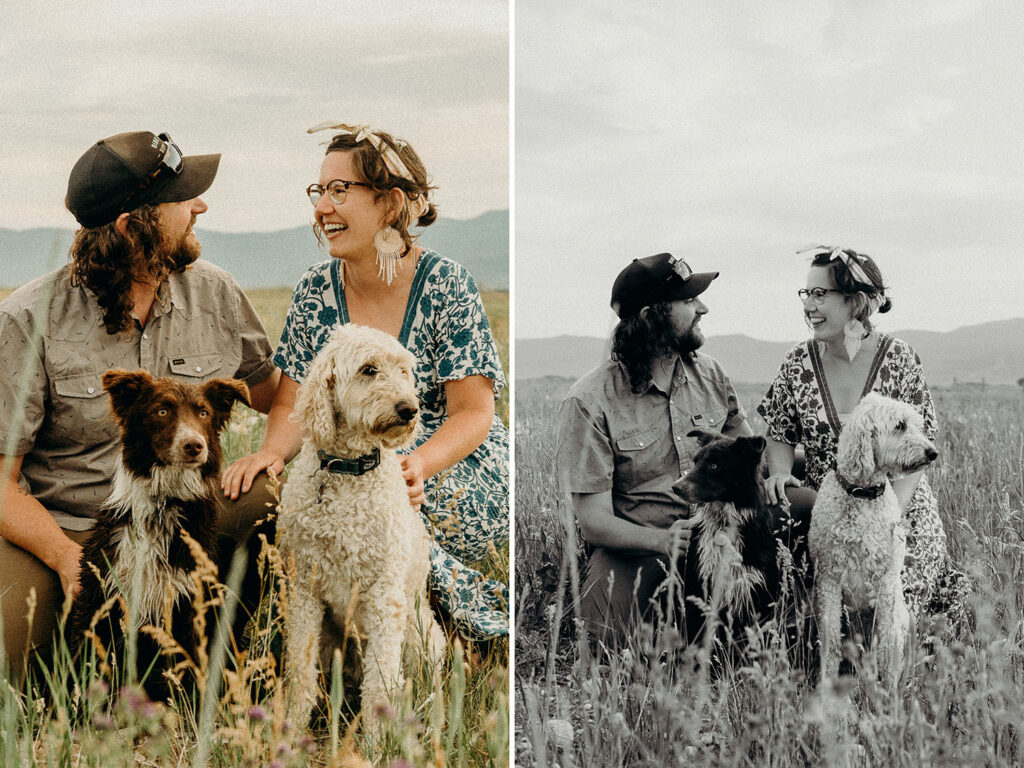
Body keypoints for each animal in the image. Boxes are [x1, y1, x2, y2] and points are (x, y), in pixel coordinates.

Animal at [67, 370, 248, 700]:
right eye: (162, 411)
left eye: (204, 413)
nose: (194, 445)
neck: (163, 502)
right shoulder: (100, 593)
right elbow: (86, 660)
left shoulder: (187, 603)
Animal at [280, 325, 444, 733]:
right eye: (368, 369)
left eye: (404, 370)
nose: (409, 409)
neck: (348, 470)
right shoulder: (304, 589)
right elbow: (301, 671)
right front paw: (291, 727)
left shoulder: (385, 598)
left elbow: (379, 686)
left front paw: (374, 740)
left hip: (420, 636)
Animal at [806, 393, 937, 688]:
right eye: (900, 425)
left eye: (919, 425)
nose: (933, 452)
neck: (861, 494)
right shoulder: (828, 580)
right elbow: (830, 640)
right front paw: (826, 685)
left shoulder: (886, 584)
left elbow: (888, 645)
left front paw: (890, 692)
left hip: (902, 616)